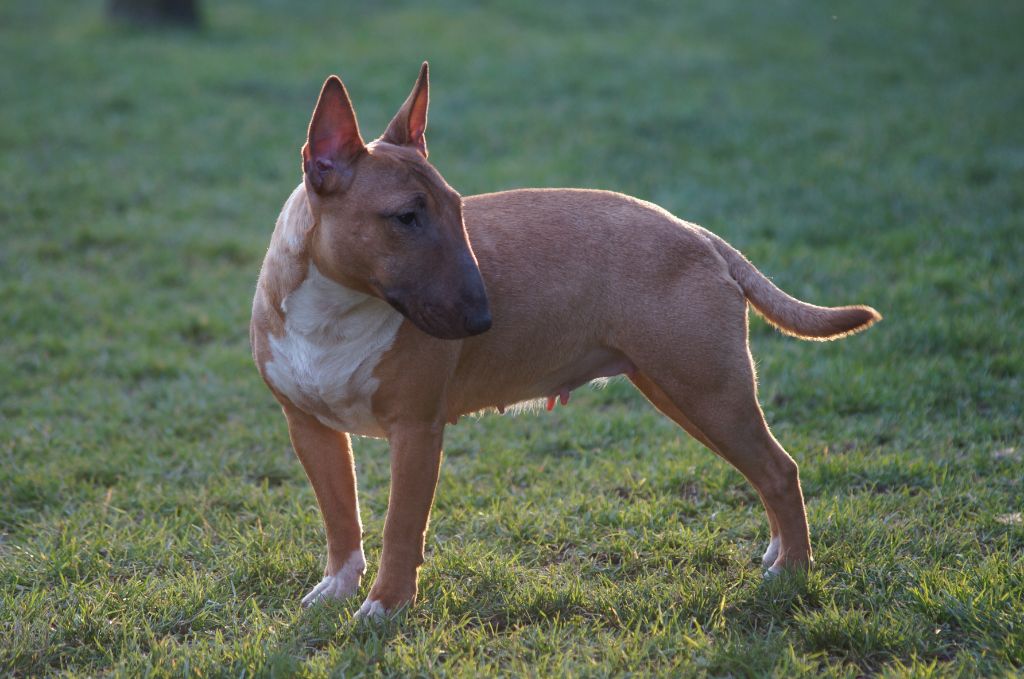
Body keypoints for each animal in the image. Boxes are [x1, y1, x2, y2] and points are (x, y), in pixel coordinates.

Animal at [249, 63, 880, 622]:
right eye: (406, 217)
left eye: (458, 208)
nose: (482, 320)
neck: (337, 309)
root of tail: (699, 235)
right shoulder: (309, 428)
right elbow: (341, 518)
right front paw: (336, 591)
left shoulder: (417, 430)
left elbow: (401, 528)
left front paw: (384, 608)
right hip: (681, 392)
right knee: (764, 471)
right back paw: (779, 553)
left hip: (710, 391)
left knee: (780, 470)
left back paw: (793, 569)